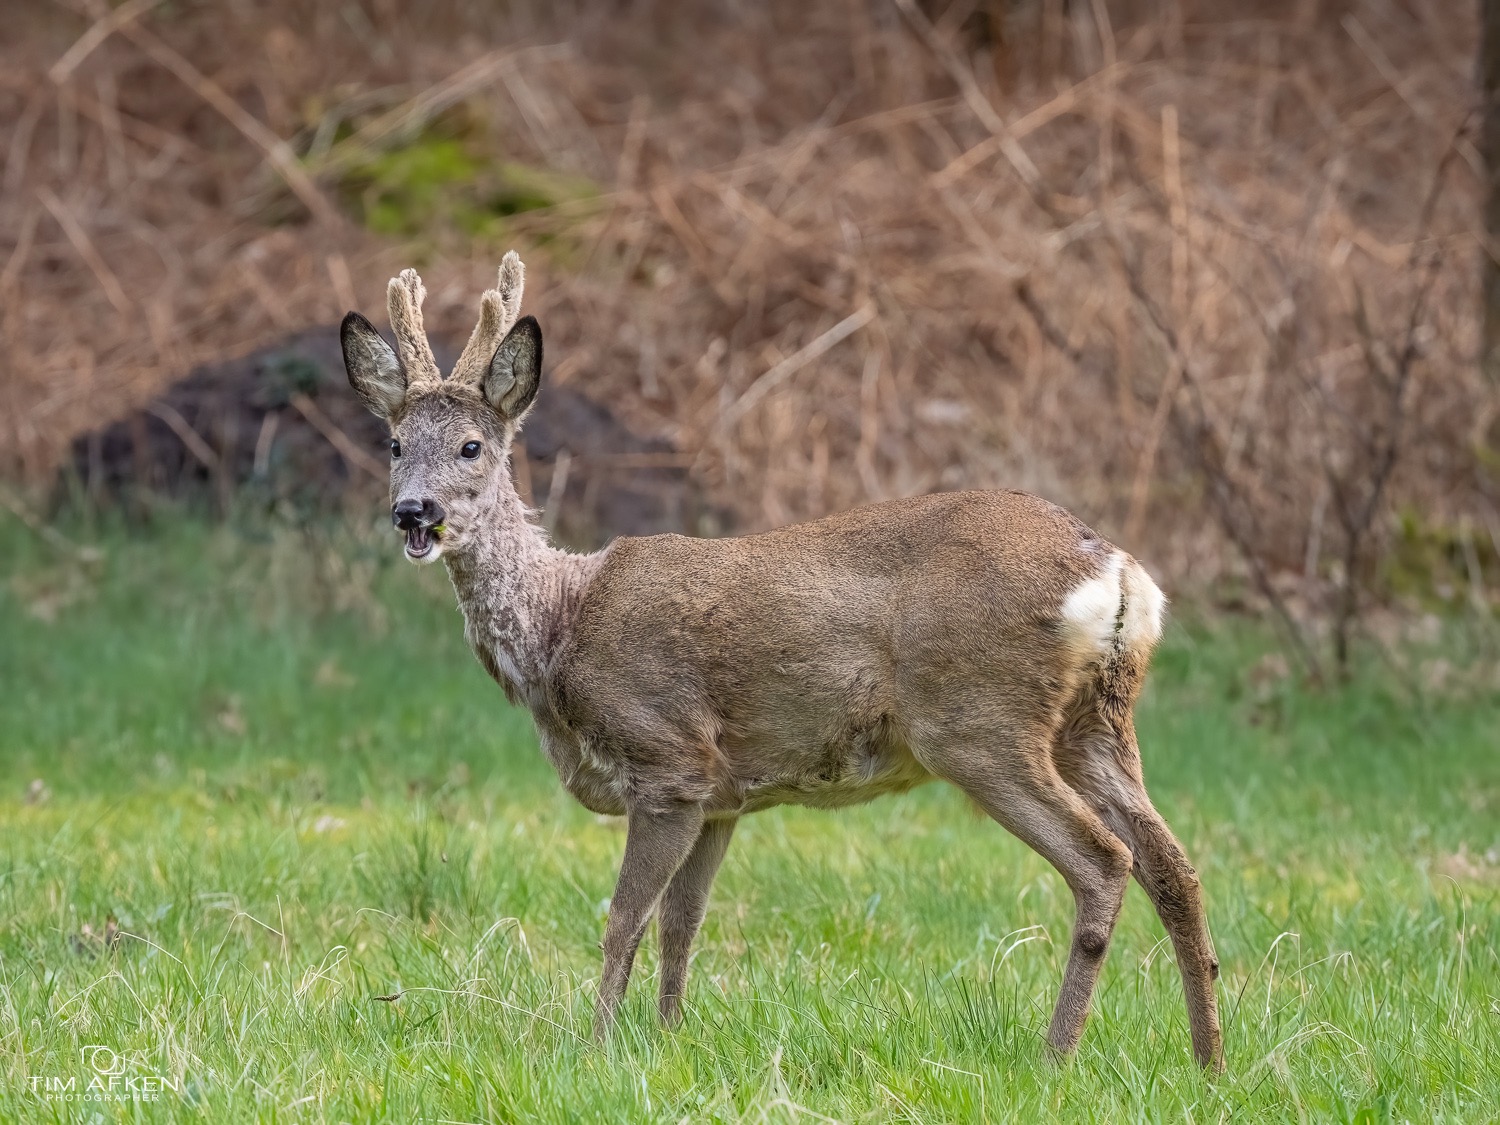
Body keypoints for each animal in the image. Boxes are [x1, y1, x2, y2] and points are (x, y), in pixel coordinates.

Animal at [340, 253, 1223, 1069]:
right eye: (394, 443)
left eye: (471, 446)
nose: (414, 511)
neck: (561, 624)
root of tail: (1116, 571)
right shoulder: (721, 795)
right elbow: (682, 922)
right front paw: (670, 1039)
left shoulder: (667, 759)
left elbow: (625, 919)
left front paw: (596, 1048)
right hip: (1095, 724)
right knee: (1173, 866)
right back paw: (1208, 1058)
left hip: (979, 720)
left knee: (1104, 860)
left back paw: (1056, 1054)